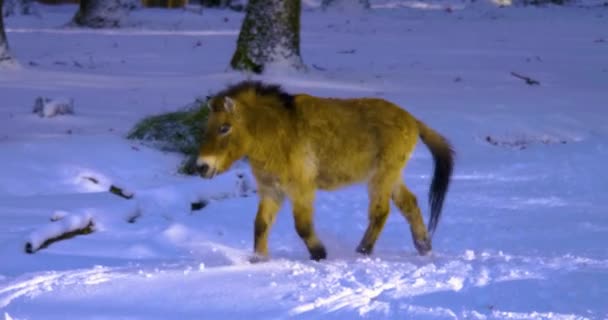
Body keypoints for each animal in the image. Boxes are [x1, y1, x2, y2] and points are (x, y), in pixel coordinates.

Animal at [197, 80, 454, 260]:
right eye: (207, 127)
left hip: (381, 177)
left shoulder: (301, 189)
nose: (201, 166)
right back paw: (423, 246)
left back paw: (363, 250)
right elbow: (261, 224)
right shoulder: (272, 190)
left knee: (380, 212)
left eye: (225, 127)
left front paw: (319, 254)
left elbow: (302, 226)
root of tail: (412, 120)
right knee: (409, 204)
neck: (275, 133)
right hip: (390, 177)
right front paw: (259, 260)